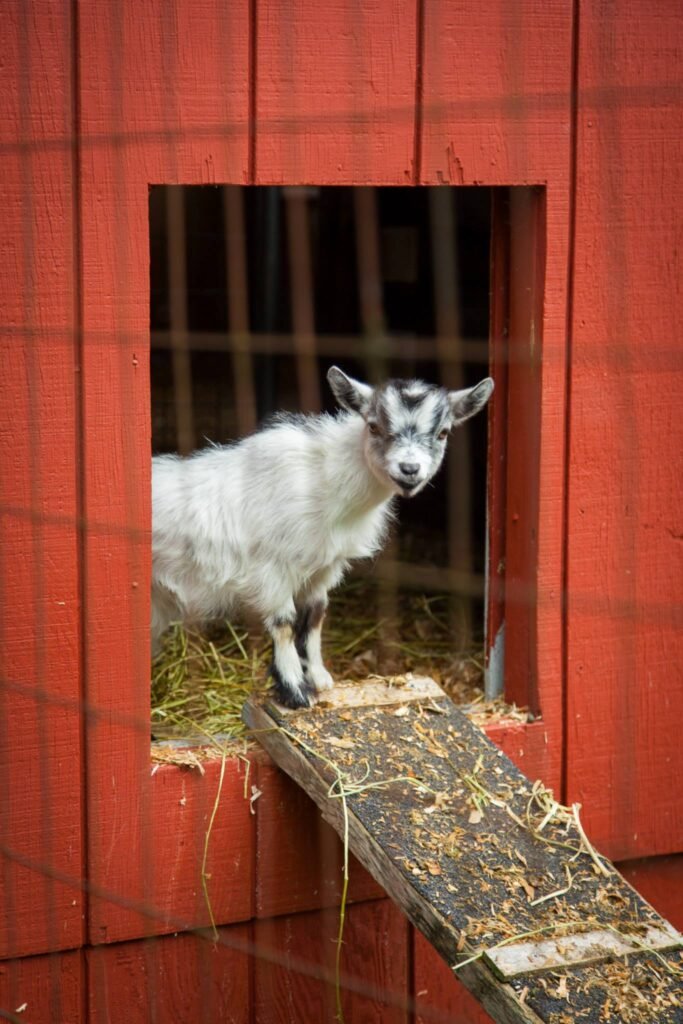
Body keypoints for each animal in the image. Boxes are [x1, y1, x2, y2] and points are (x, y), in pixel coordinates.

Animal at [152, 367, 494, 708]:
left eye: (443, 433)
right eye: (373, 426)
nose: (409, 469)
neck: (324, 481)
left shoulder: (324, 568)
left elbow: (314, 619)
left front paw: (318, 677)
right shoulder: (273, 569)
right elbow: (284, 623)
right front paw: (295, 691)